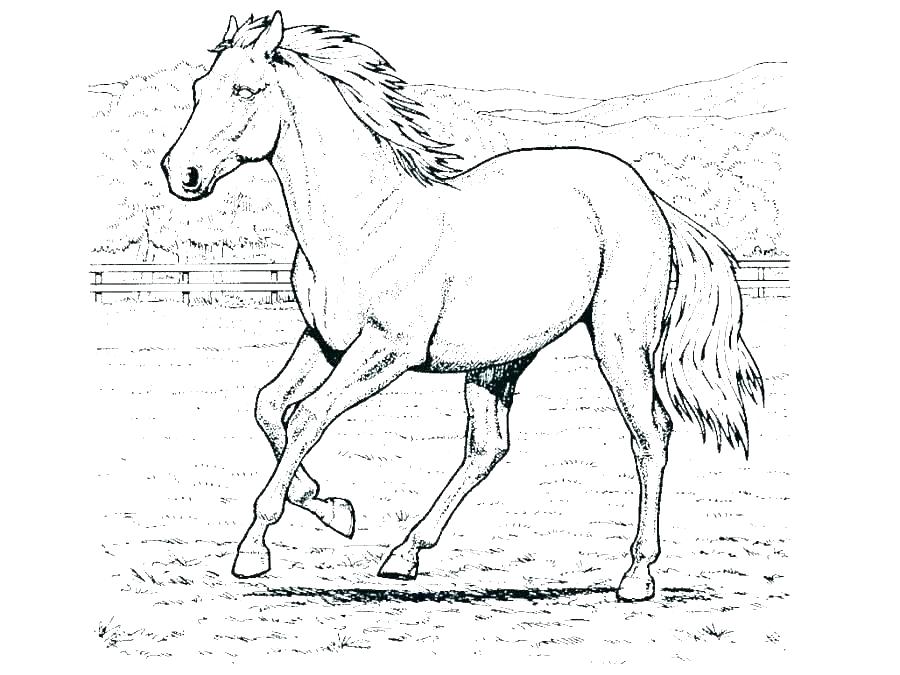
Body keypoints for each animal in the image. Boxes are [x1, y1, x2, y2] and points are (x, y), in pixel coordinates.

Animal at [161, 12, 762, 602]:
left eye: (245, 89)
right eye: (199, 88)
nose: (179, 174)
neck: (365, 223)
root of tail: (649, 197)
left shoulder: (385, 352)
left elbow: (307, 417)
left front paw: (254, 550)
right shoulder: (324, 342)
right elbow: (269, 407)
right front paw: (333, 509)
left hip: (619, 341)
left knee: (650, 435)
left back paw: (636, 575)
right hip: (499, 361)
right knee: (488, 447)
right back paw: (404, 555)